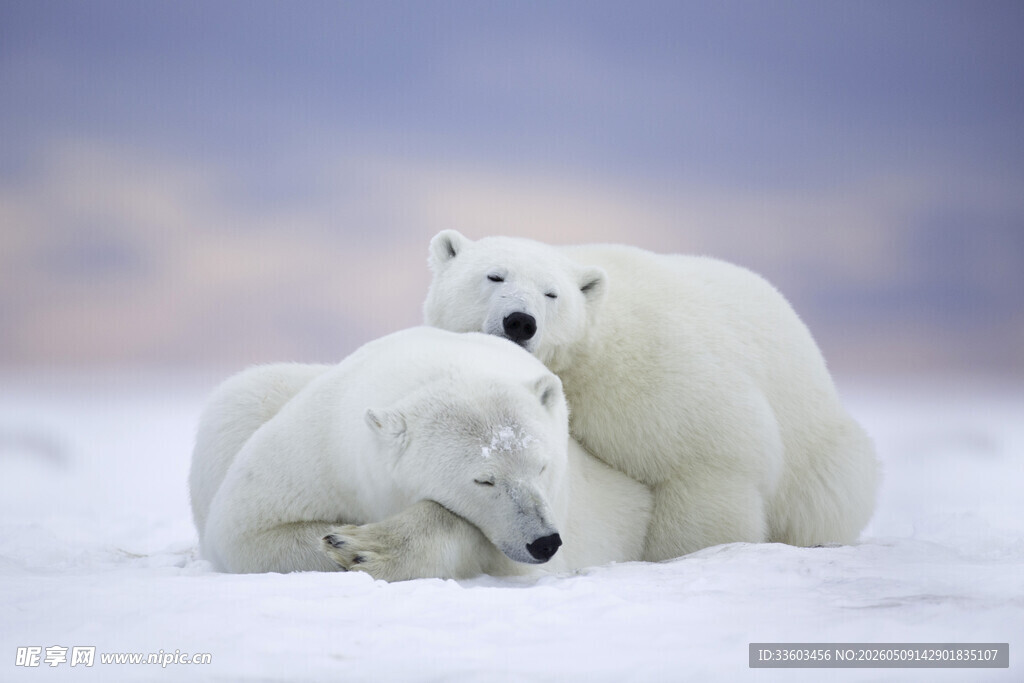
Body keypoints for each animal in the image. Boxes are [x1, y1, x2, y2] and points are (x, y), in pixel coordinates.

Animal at [189, 326, 651, 579]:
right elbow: (246, 531)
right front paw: (342, 540)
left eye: (542, 466)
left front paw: (364, 546)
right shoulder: (320, 450)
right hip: (245, 401)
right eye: (484, 479)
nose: (544, 541)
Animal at [424, 231, 879, 562]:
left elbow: (707, 460)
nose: (520, 321)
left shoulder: (654, 376)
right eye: (494, 276)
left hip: (819, 452)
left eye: (552, 294)